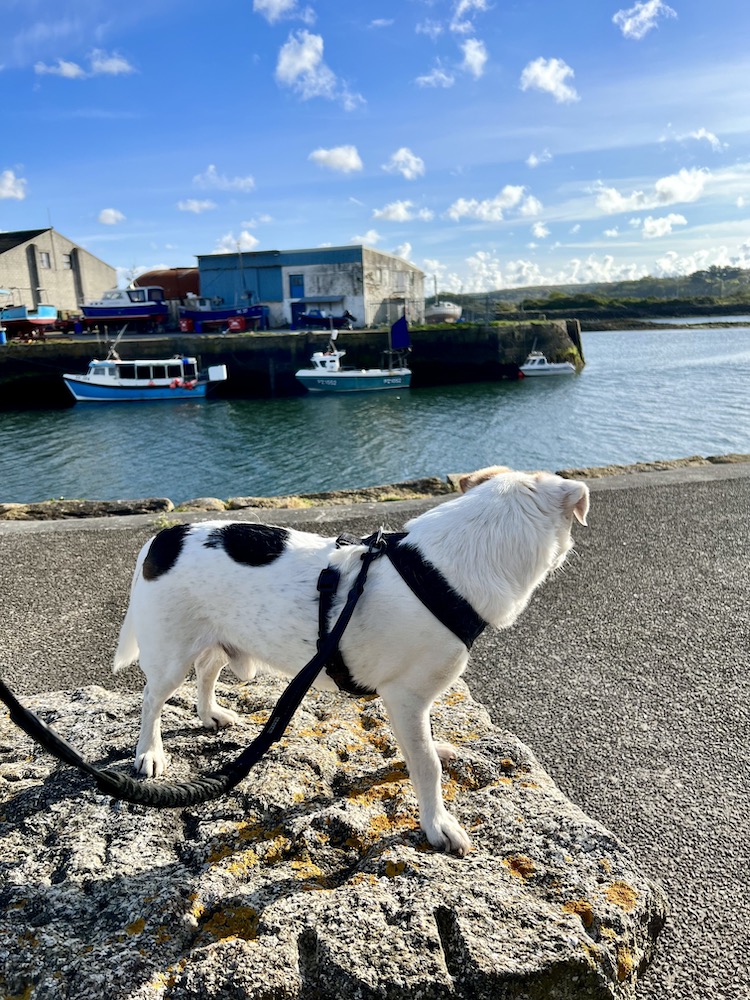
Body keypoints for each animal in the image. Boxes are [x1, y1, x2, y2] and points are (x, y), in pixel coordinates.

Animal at [114, 466, 592, 852]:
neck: (444, 568)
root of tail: (163, 537)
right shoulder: (405, 695)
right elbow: (427, 766)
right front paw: (436, 823)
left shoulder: (406, 701)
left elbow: (420, 744)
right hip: (170, 656)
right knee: (152, 700)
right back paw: (150, 751)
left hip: (218, 637)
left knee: (207, 669)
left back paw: (210, 713)